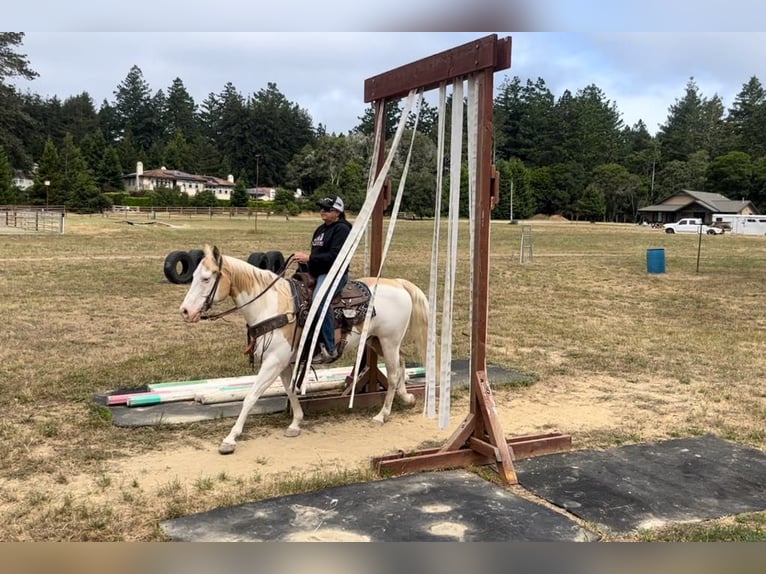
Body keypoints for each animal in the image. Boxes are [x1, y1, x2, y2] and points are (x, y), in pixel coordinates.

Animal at [181, 245, 432, 456]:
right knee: (401, 364)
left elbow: (251, 397)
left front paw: (230, 439)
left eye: (206, 279)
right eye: (192, 277)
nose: (185, 311)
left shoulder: (273, 361)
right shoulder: (283, 362)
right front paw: (296, 423)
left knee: (392, 375)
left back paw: (382, 415)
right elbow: (290, 390)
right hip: (376, 341)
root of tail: (398, 283)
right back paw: (407, 398)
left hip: (389, 341)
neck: (271, 305)